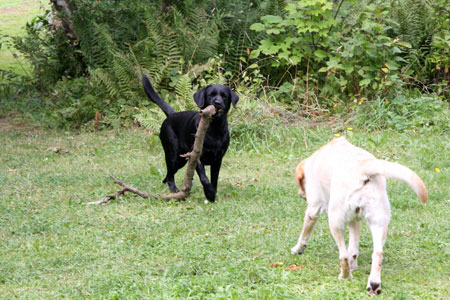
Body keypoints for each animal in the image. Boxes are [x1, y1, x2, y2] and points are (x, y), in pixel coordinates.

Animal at [142, 74, 239, 203]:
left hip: (181, 160)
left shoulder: (218, 160)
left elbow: (214, 179)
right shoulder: (196, 155)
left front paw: (213, 192)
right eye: (210, 95)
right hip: (174, 156)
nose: (217, 102)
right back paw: (174, 191)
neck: (214, 128)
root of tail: (172, 114)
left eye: (224, 96)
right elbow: (204, 177)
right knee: (170, 175)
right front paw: (210, 193)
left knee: (169, 174)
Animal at [290, 138, 428, 296]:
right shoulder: (355, 220)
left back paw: (345, 276)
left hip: (335, 221)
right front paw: (354, 264)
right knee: (377, 253)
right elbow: (354, 249)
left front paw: (297, 249)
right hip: (379, 223)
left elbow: (304, 235)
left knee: (343, 256)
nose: (300, 194)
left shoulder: (313, 209)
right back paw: (373, 284)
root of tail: (364, 168)